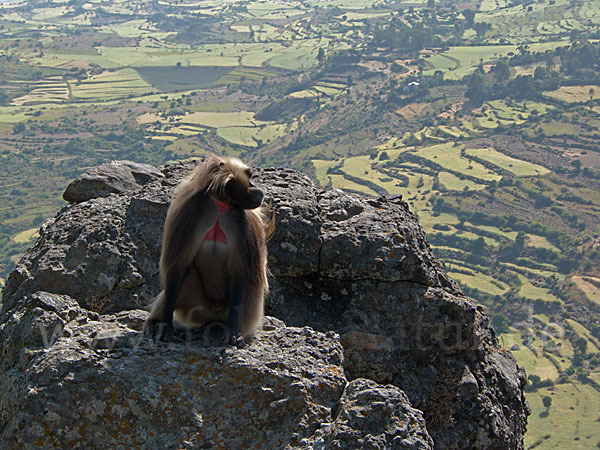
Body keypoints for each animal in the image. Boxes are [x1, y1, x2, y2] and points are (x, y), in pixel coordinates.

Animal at [146, 153, 274, 346]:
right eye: (249, 177)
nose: (256, 187)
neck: (221, 206)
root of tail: (214, 315)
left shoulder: (242, 222)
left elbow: (240, 272)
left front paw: (233, 332)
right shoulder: (190, 212)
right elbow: (178, 266)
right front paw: (165, 324)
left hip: (244, 310)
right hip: (197, 309)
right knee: (187, 274)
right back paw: (154, 323)